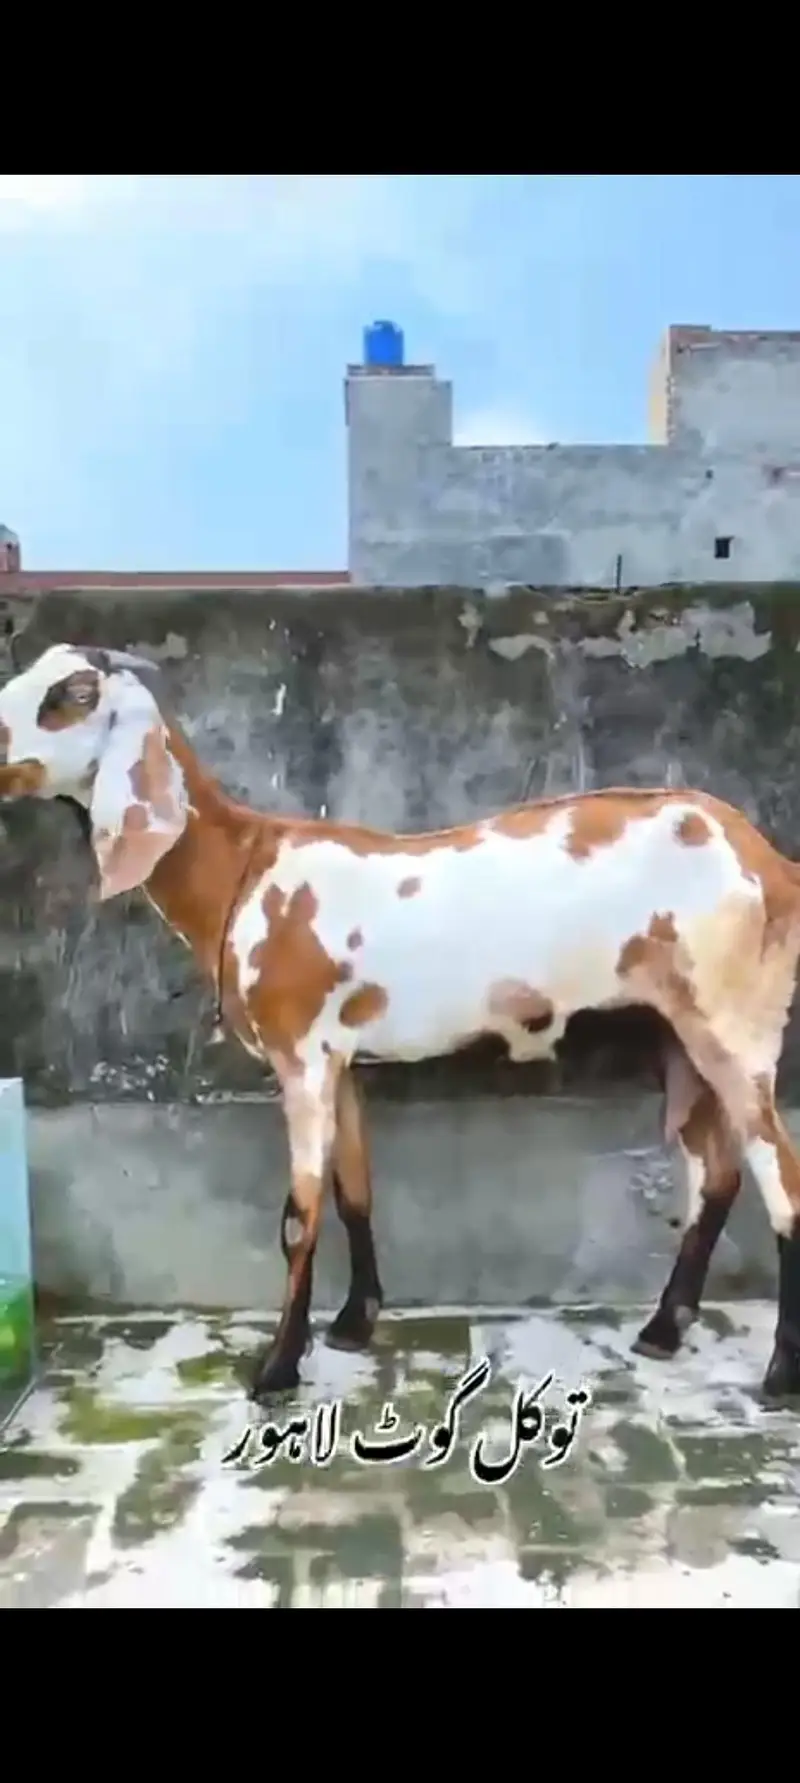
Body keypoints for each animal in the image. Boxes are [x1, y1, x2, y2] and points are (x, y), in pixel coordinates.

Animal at [1, 641, 799, 1407]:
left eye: (72, 694)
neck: (246, 869)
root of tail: (770, 863)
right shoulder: (340, 1058)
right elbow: (354, 1189)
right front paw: (355, 1321)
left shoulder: (301, 1056)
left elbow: (298, 1218)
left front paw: (278, 1368)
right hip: (681, 1034)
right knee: (715, 1173)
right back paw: (665, 1326)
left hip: (733, 1021)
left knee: (780, 1177)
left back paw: (779, 1374)